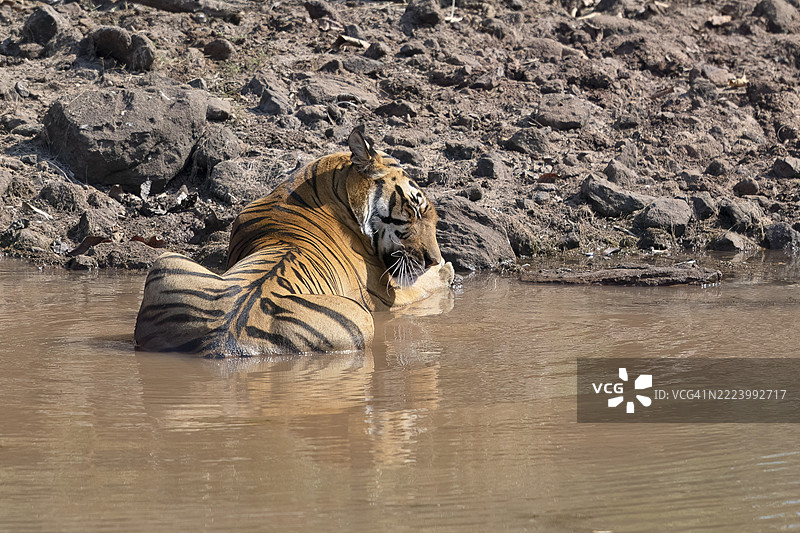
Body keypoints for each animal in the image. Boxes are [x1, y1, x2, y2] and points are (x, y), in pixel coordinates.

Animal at [134, 128, 454, 357]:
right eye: (413, 214)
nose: (434, 258)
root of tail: (228, 337)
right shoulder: (386, 292)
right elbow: (424, 286)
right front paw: (446, 271)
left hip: (167, 261)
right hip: (362, 318)